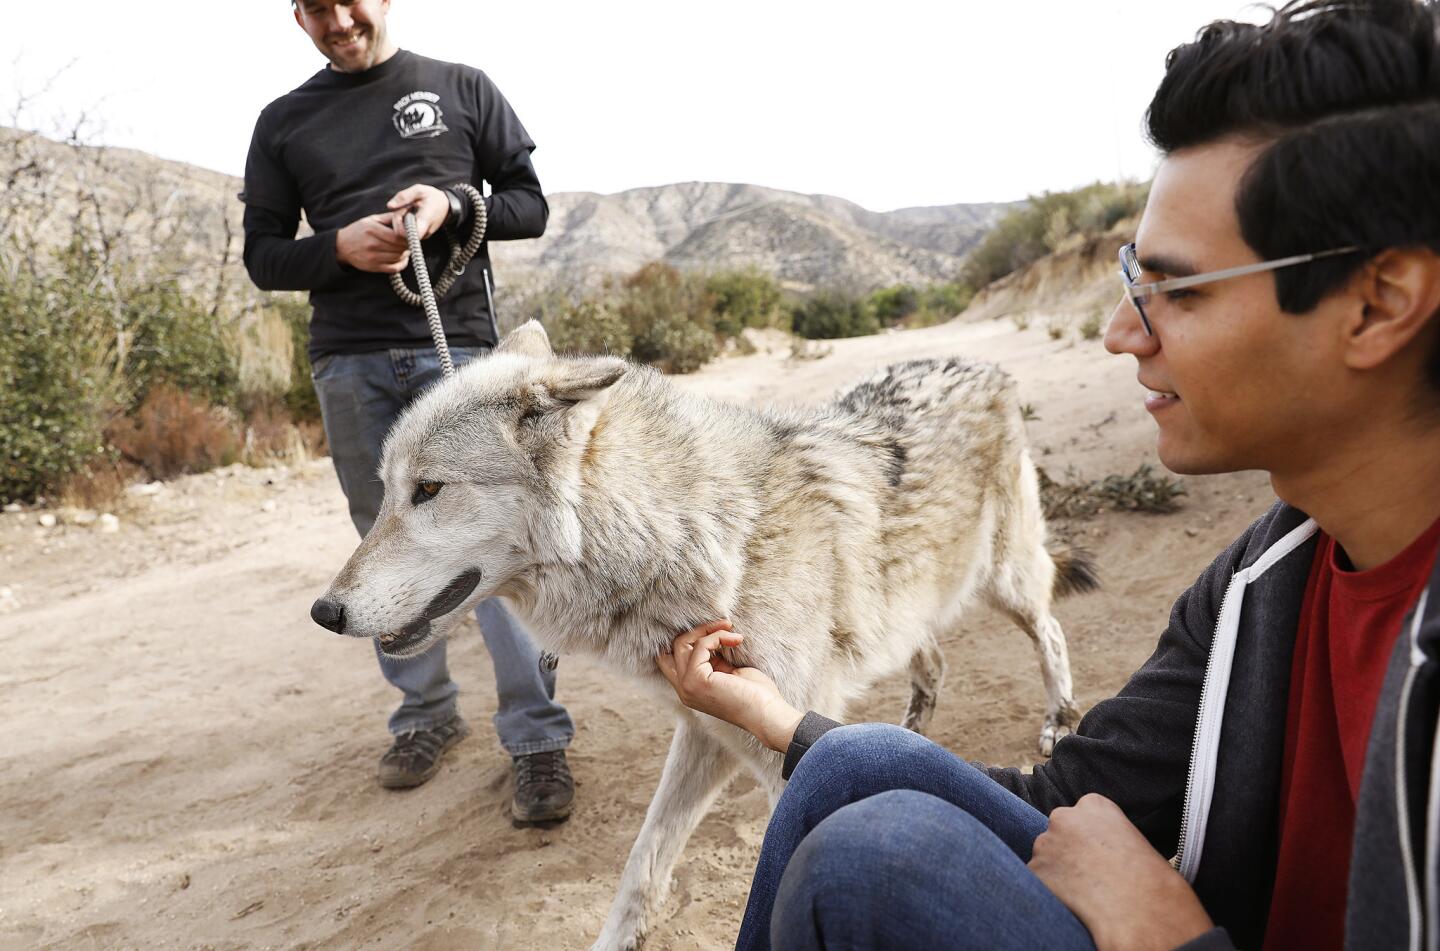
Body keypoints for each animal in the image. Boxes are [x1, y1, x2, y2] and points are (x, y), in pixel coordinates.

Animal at [312, 321, 1088, 951]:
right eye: (385, 491)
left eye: (428, 490)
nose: (325, 611)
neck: (691, 537)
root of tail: (980, 363)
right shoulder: (706, 726)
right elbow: (643, 861)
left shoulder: (778, 751)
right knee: (929, 656)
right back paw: (911, 726)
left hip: (1007, 579)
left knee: (1051, 630)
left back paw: (1059, 719)